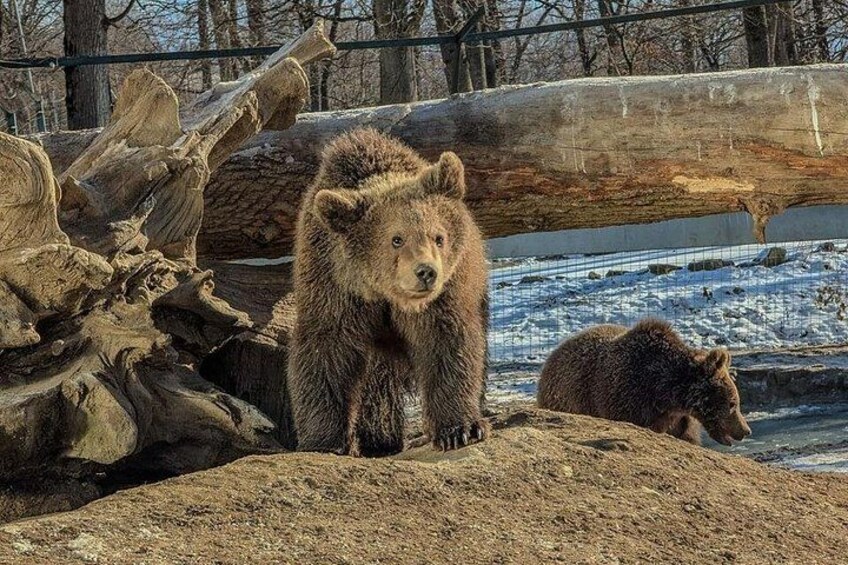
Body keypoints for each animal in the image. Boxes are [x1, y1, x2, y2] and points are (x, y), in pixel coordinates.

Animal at [287, 128, 490, 456]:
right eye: (396, 239)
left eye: (439, 236)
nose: (426, 272)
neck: (384, 294)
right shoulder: (334, 288)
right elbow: (326, 353)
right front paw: (322, 441)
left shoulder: (446, 295)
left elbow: (449, 346)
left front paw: (460, 429)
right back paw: (378, 440)